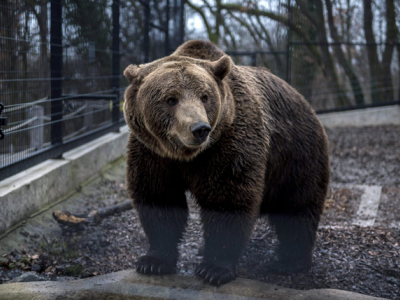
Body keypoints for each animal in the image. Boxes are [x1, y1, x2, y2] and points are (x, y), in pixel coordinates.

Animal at [123, 39, 330, 286]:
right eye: (171, 99)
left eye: (204, 96)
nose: (199, 128)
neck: (187, 156)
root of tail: (304, 101)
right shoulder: (152, 153)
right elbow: (158, 197)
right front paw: (153, 261)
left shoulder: (229, 144)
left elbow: (227, 198)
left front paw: (214, 268)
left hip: (295, 152)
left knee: (297, 204)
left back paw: (289, 261)